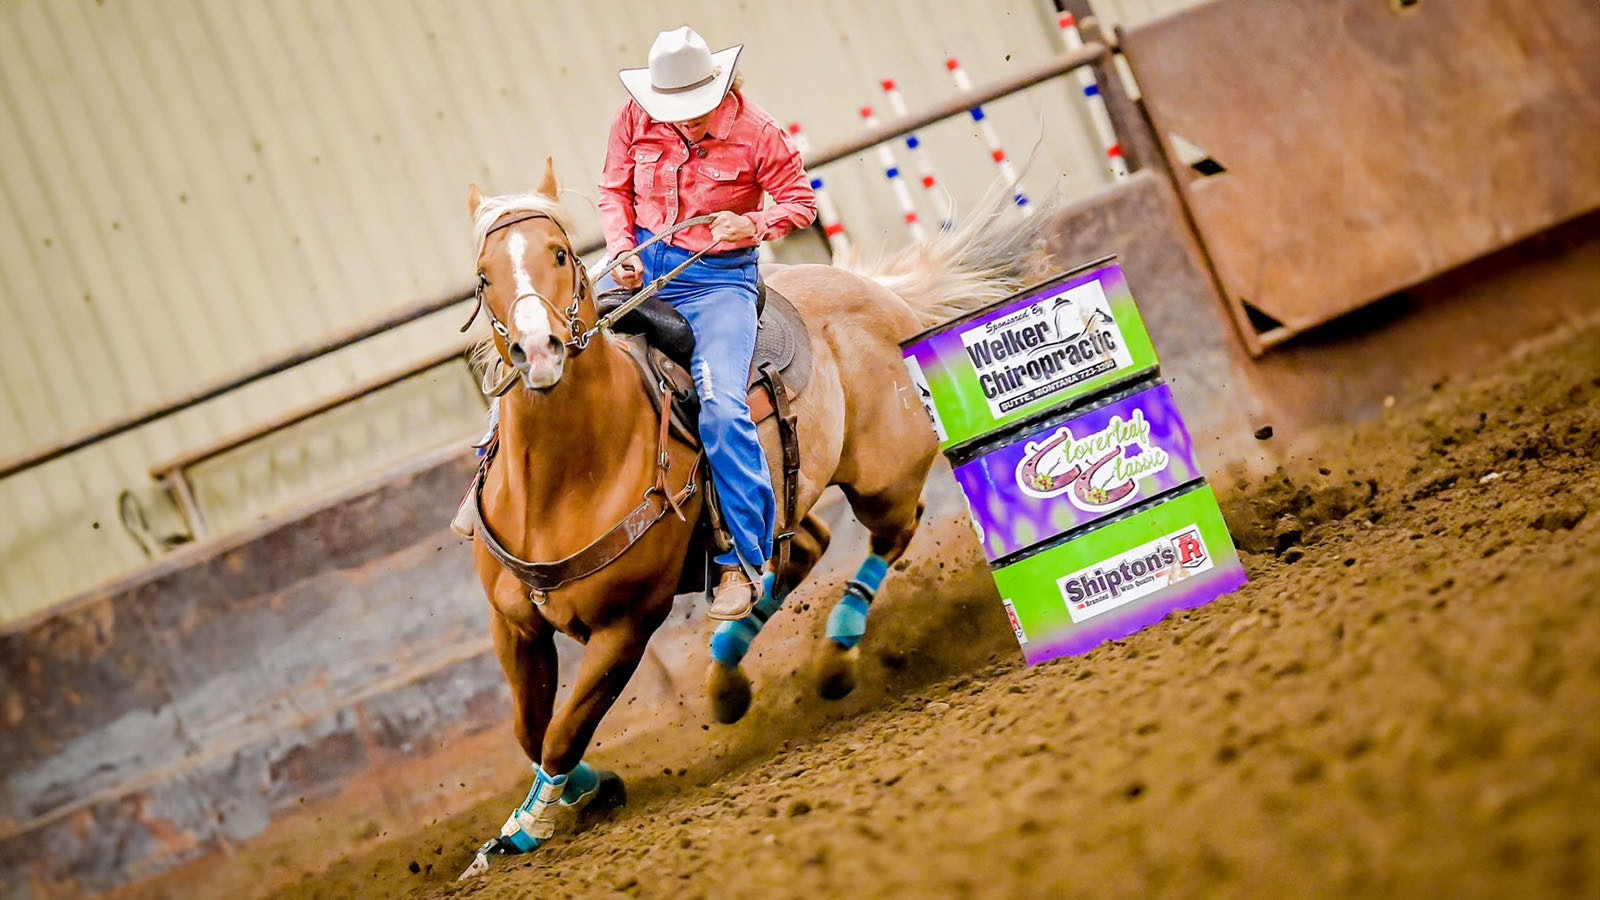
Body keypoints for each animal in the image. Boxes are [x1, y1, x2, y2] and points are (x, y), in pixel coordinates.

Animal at [457, 156, 1056, 871]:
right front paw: (580, 795)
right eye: (484, 276)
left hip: (883, 474)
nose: (538, 350)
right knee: (800, 550)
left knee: (892, 530)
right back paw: (728, 671)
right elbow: (530, 729)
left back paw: (835, 654)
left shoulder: (627, 627)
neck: (563, 483)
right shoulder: (513, 626)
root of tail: (880, 291)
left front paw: (532, 824)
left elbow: (564, 731)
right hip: (785, 501)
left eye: (559, 253)